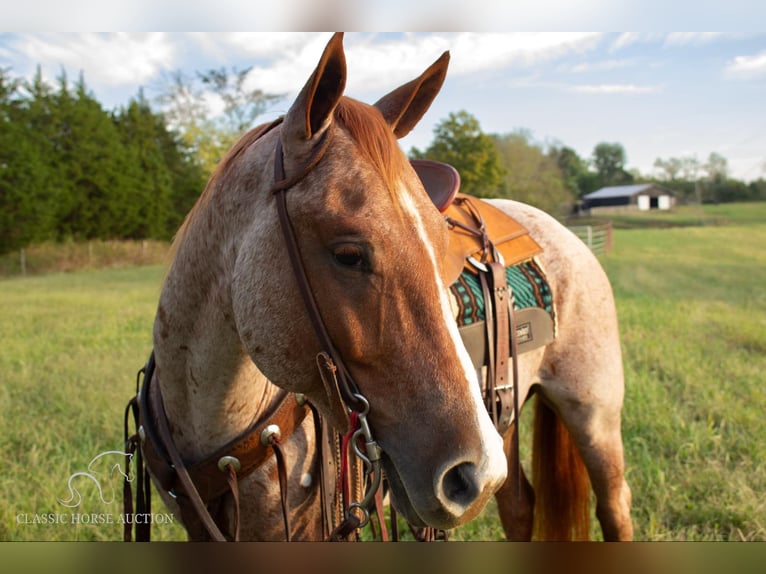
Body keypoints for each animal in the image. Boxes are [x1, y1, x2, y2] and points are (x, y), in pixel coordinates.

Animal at [130, 33, 636, 544]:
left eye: (443, 247)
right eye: (349, 254)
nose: (473, 472)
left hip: (593, 414)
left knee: (614, 506)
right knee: (518, 506)